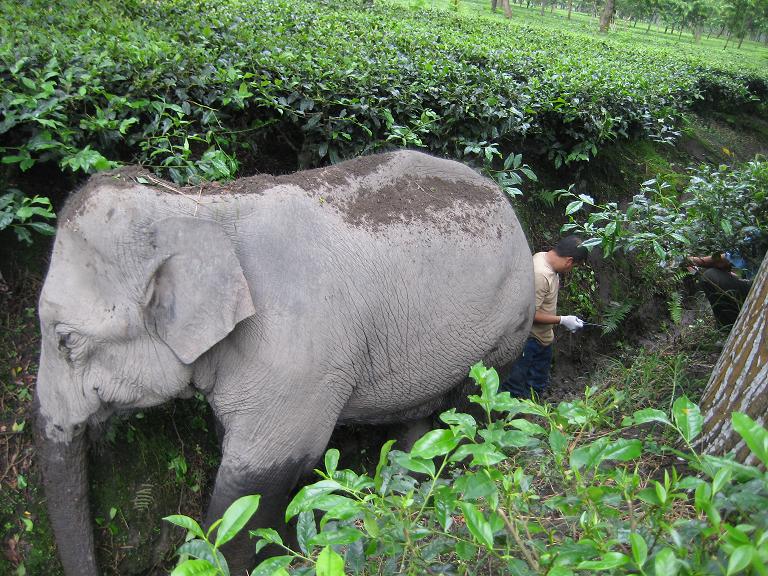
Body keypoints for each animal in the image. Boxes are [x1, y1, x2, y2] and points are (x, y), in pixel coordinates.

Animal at [34, 150, 534, 574]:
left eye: (65, 340)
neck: (197, 207)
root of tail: (505, 202)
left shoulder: (297, 357)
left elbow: (257, 479)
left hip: (507, 327)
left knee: (471, 410)